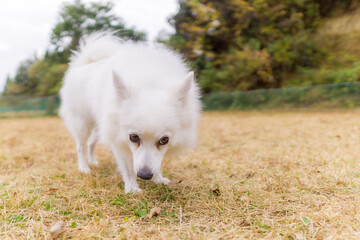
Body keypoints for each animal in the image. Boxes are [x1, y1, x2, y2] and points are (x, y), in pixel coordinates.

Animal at [58, 32, 200, 193]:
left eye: (164, 140)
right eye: (134, 137)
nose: (145, 175)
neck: (149, 81)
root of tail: (83, 64)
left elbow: (157, 162)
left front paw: (158, 179)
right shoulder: (118, 139)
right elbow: (127, 168)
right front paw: (132, 188)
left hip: (100, 126)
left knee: (90, 143)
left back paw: (93, 161)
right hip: (82, 123)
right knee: (81, 146)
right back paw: (84, 167)